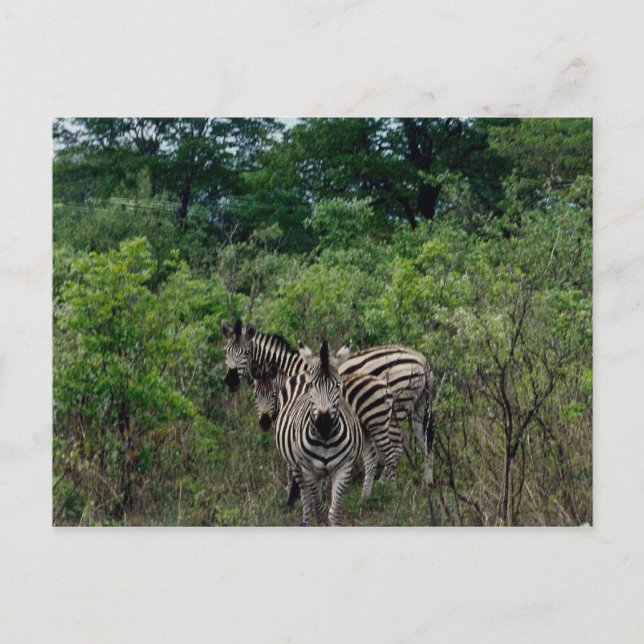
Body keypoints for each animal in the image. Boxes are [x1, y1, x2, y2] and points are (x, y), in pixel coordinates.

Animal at [275, 341, 363, 526]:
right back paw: (305, 522)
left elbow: (334, 512)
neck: (325, 441)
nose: (324, 425)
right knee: (306, 498)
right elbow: (319, 510)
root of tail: (301, 373)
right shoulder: (308, 469)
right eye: (311, 386)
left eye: (338, 385)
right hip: (296, 466)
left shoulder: (344, 468)